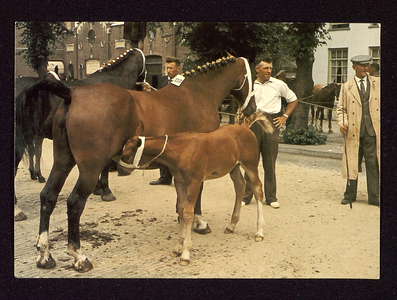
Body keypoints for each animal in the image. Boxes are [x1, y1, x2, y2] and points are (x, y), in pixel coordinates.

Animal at [117, 119, 270, 264]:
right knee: (240, 185)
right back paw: (231, 225)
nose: (120, 170)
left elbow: (188, 213)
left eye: (126, 155)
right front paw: (178, 246)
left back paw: (259, 231)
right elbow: (181, 209)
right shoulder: (179, 182)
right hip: (234, 167)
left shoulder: (195, 182)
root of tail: (245, 127)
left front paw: (186, 253)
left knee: (257, 189)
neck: (182, 151)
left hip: (250, 164)